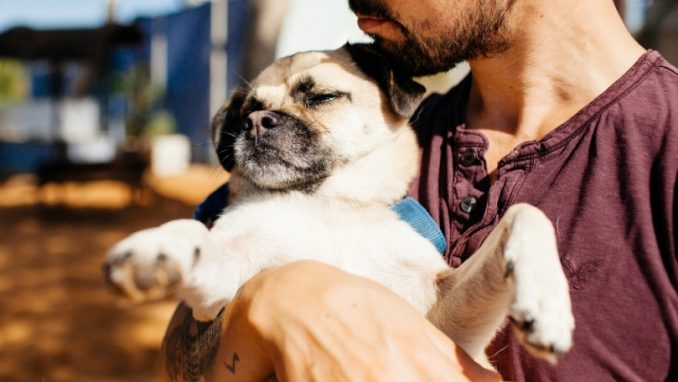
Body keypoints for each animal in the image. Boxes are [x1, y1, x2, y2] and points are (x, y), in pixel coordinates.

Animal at [103, 43, 576, 366]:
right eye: (246, 111)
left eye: (322, 97)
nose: (256, 122)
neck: (326, 200)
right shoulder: (219, 291)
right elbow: (197, 237)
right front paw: (158, 248)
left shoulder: (444, 318)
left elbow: (526, 213)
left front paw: (546, 303)